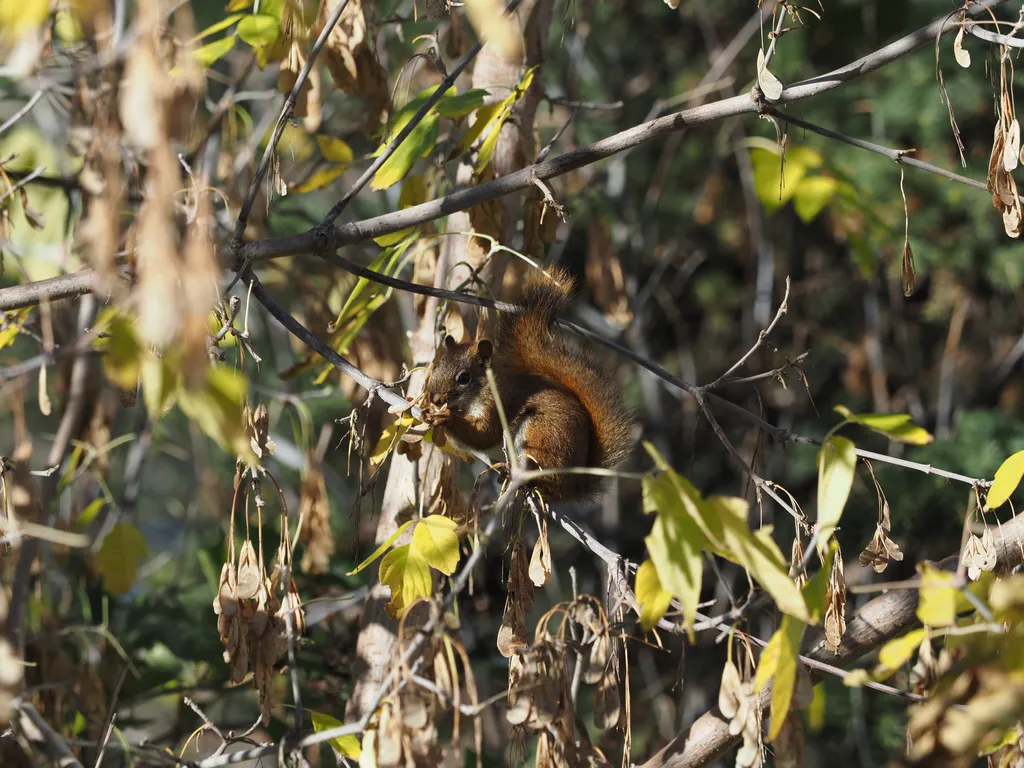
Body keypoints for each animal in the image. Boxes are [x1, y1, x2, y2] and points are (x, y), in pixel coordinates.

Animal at [424, 266, 633, 503]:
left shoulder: (498, 404)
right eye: (438, 365)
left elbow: (484, 434)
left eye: (464, 378)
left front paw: (445, 417)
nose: (434, 398)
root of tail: (572, 487)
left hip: (540, 435)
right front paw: (429, 414)